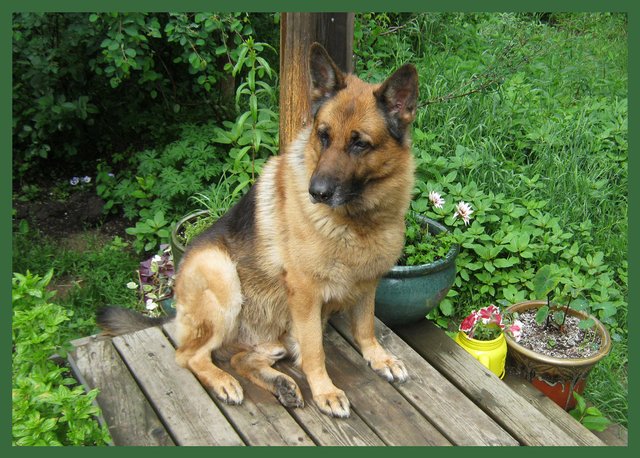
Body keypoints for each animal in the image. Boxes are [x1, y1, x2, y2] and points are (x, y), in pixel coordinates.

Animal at [99, 43, 420, 418]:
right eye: (323, 136)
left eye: (360, 144)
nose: (317, 192)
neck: (357, 220)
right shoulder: (306, 295)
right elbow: (315, 351)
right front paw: (325, 390)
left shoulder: (367, 283)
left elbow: (366, 327)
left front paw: (378, 358)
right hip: (221, 274)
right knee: (189, 355)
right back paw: (224, 381)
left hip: (275, 339)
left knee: (242, 358)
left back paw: (280, 384)